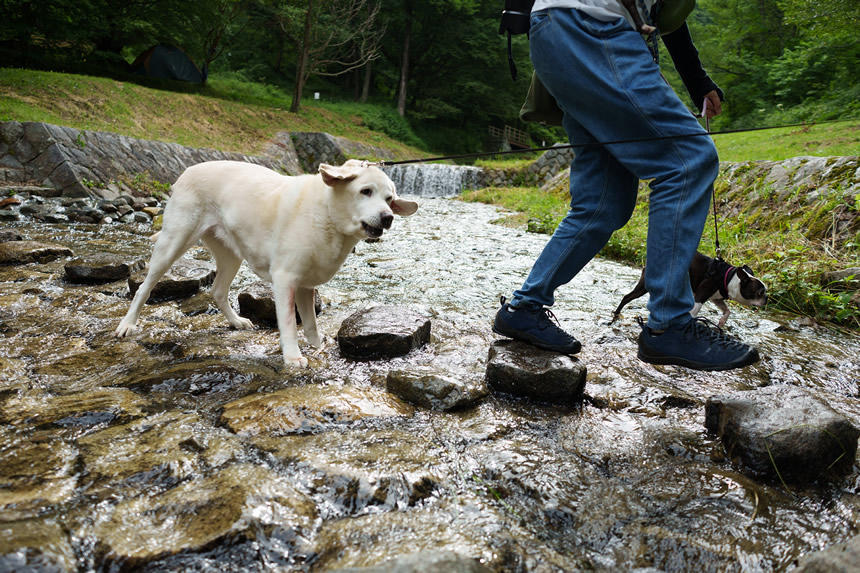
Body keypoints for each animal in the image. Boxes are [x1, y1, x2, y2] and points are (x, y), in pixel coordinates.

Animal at [115, 160, 420, 366]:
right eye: (365, 191)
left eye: (389, 199)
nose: (388, 217)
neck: (326, 215)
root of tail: (186, 172)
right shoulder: (285, 279)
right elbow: (288, 322)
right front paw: (293, 356)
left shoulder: (305, 285)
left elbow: (310, 323)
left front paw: (317, 344)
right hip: (173, 242)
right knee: (144, 288)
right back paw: (127, 324)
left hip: (231, 255)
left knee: (217, 290)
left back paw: (236, 321)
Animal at [612, 251, 764, 326]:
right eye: (760, 293)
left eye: (765, 292)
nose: (766, 299)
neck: (729, 278)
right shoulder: (701, 296)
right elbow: (694, 311)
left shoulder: (716, 299)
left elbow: (727, 310)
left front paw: (722, 322)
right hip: (644, 286)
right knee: (627, 297)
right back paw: (616, 314)